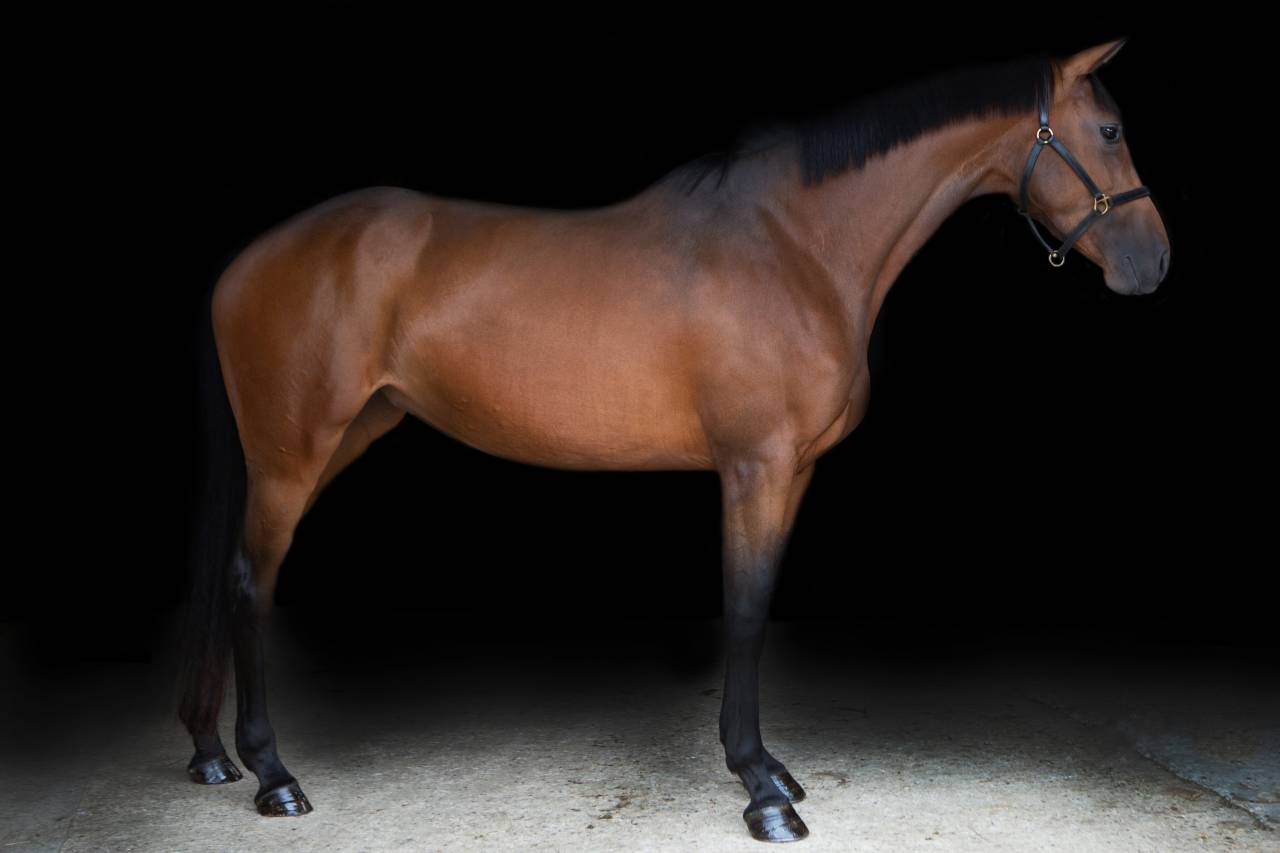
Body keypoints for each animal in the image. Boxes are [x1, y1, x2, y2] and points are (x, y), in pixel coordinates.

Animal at [179, 38, 1170, 842]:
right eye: (1110, 129)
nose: (1154, 262)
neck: (796, 247)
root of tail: (244, 262)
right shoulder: (755, 467)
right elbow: (744, 608)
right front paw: (762, 789)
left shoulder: (792, 472)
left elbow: (754, 605)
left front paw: (772, 772)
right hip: (293, 452)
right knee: (249, 581)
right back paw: (273, 775)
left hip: (336, 439)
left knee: (231, 576)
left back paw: (210, 753)